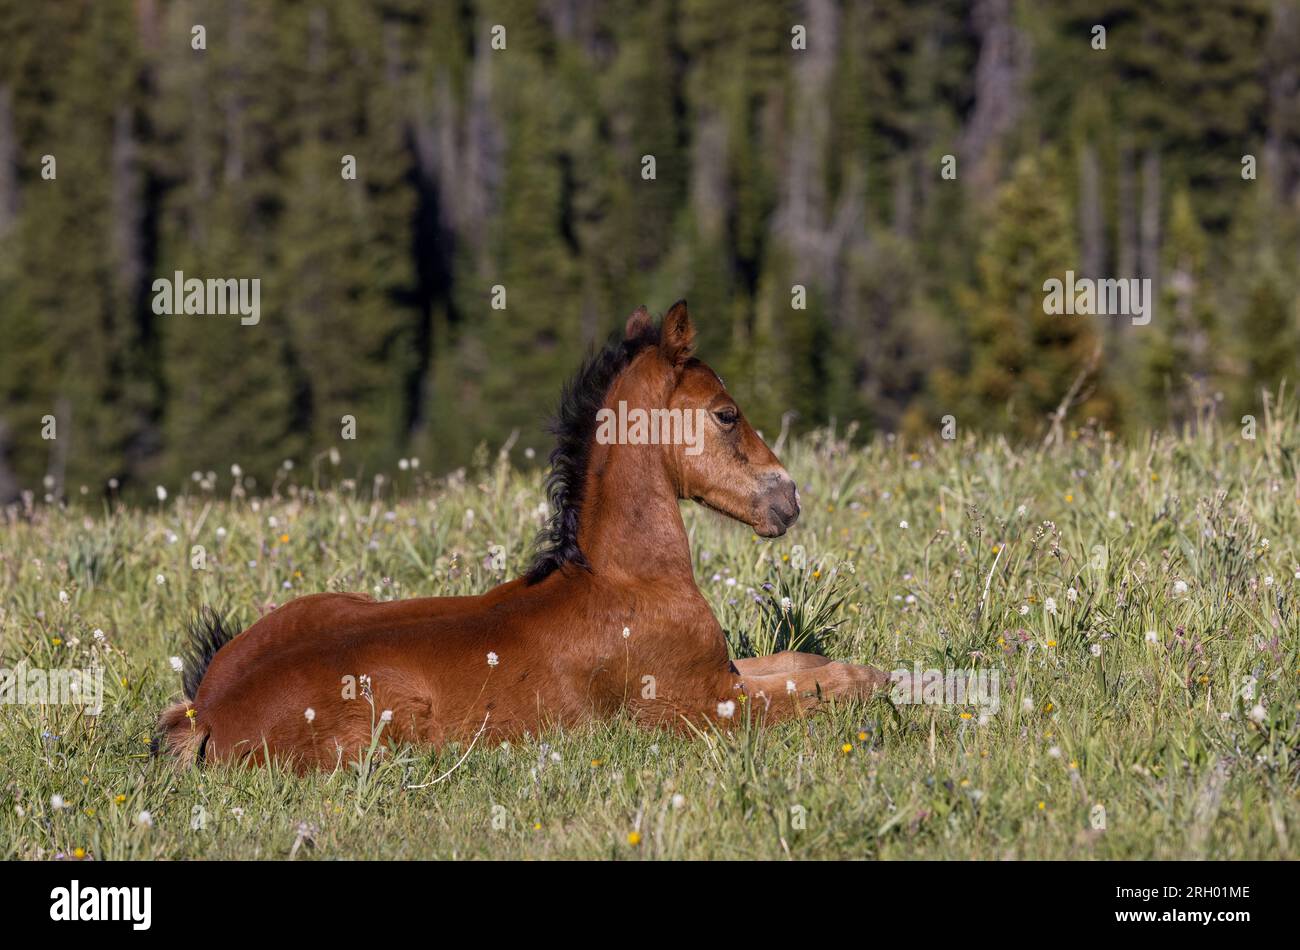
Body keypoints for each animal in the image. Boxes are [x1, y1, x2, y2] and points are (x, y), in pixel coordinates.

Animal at [159, 304, 894, 774]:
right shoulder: (709, 706)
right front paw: (898, 683)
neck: (629, 581)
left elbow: (802, 661)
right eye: (727, 414)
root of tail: (207, 714)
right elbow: (835, 683)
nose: (787, 498)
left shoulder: (724, 673)